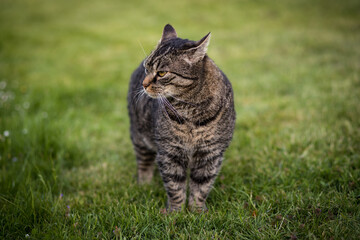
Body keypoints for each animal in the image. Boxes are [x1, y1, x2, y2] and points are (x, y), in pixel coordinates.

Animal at [127, 24, 236, 212]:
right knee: (144, 163)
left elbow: (201, 186)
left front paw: (196, 212)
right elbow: (175, 186)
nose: (144, 84)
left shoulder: (211, 153)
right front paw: (175, 212)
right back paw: (145, 185)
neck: (191, 111)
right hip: (139, 137)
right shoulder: (169, 152)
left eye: (162, 73)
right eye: (147, 67)